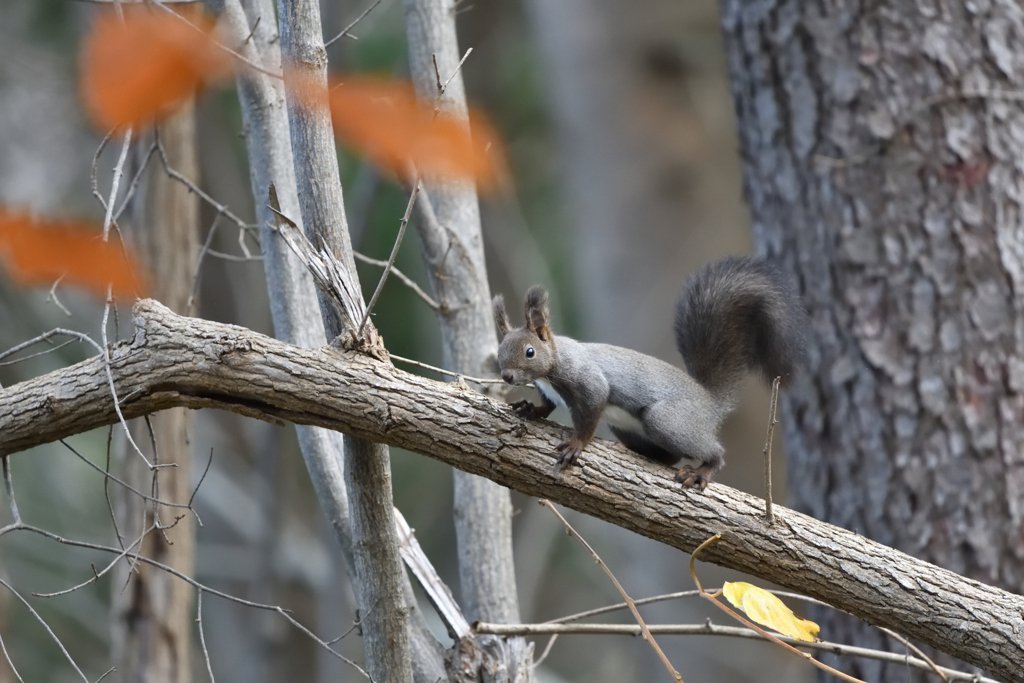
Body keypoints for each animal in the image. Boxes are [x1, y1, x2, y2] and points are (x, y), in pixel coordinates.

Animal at [489, 255, 806, 491]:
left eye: (530, 352)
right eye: (500, 350)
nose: (507, 376)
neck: (551, 366)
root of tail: (710, 402)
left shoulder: (587, 380)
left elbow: (591, 411)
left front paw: (576, 444)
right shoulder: (548, 390)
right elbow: (547, 406)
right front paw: (529, 408)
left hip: (668, 421)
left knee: (713, 452)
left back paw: (702, 471)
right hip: (628, 428)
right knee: (670, 455)